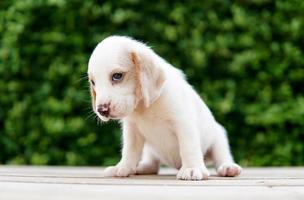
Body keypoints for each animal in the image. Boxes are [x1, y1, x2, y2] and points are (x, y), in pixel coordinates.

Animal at [88, 35, 242, 180]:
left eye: (117, 76)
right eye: (93, 82)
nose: (101, 110)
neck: (145, 107)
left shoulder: (184, 124)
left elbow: (188, 147)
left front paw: (192, 168)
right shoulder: (132, 131)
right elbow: (129, 151)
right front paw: (122, 167)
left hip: (218, 138)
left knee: (222, 157)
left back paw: (228, 167)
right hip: (150, 150)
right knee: (153, 164)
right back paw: (143, 167)